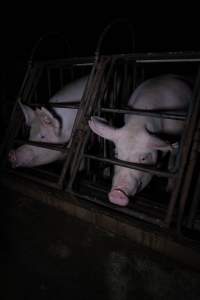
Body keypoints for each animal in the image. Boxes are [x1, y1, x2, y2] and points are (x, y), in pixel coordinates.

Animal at [89, 74, 192, 206]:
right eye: (116, 154)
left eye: (143, 158)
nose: (117, 194)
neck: (138, 124)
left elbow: (172, 164)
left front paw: (169, 190)